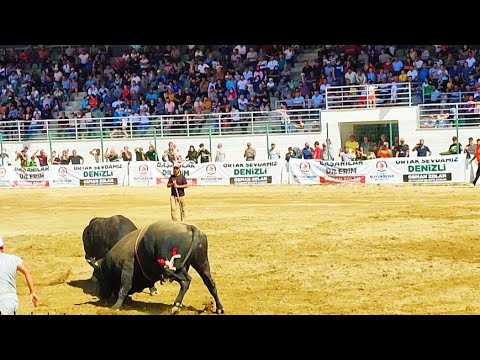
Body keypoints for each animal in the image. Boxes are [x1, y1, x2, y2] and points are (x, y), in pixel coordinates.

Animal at [86, 218, 225, 314]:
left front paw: (116, 306)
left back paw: (176, 305)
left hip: (173, 268)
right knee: (210, 284)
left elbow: (124, 288)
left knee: (186, 281)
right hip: (202, 263)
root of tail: (190, 227)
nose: (102, 295)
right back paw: (219, 308)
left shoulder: (127, 267)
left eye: (101, 278)